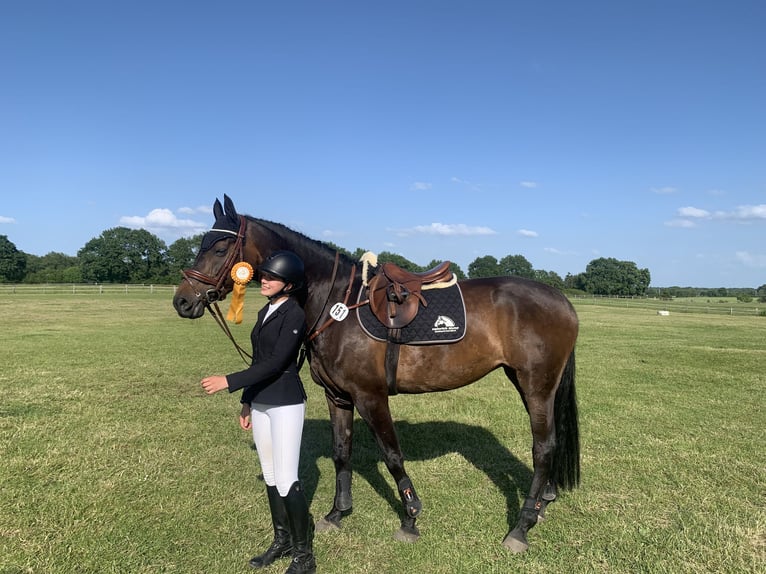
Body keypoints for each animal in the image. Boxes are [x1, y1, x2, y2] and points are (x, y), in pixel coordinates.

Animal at [174, 196, 584, 556]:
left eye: (220, 246)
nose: (182, 301)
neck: (336, 304)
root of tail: (561, 300)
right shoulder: (338, 396)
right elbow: (342, 452)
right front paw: (337, 513)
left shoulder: (370, 396)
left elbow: (392, 455)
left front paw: (410, 518)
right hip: (528, 383)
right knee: (551, 443)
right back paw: (542, 504)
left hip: (536, 385)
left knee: (543, 448)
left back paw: (521, 526)